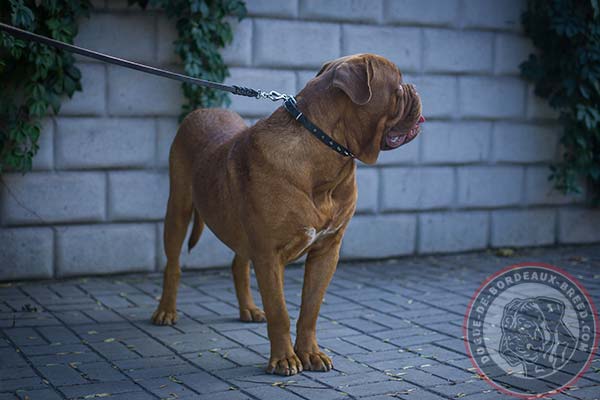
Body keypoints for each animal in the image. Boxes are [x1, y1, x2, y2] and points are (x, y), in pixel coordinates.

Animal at [151, 53, 422, 376]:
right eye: (398, 86)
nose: (415, 89)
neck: (324, 153)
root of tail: (204, 110)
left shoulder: (327, 250)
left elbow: (311, 307)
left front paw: (310, 353)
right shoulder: (269, 254)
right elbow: (279, 311)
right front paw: (284, 359)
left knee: (238, 263)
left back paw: (248, 309)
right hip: (178, 209)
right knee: (173, 265)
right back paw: (166, 311)